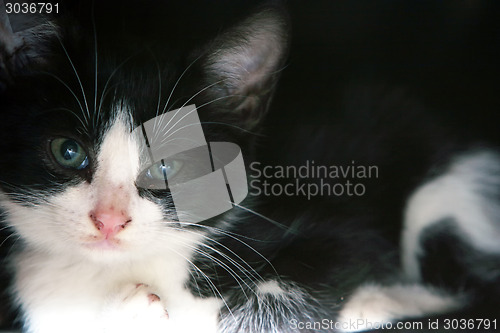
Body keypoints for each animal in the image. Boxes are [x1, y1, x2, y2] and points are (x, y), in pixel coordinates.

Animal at [0, 0, 500, 332]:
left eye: (166, 167)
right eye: (68, 151)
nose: (108, 220)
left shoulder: (342, 226)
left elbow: (332, 258)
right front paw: (129, 311)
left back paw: (376, 303)